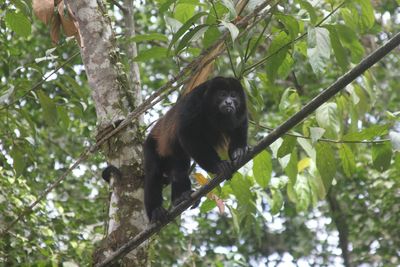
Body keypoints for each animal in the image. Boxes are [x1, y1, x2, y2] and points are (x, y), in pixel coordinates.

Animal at [145, 76, 248, 223]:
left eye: (233, 95)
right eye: (222, 94)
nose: (229, 102)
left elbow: (239, 126)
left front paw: (238, 152)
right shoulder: (195, 100)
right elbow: (186, 132)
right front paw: (219, 165)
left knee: (179, 170)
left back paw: (180, 198)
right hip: (150, 145)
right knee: (153, 174)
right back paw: (155, 211)